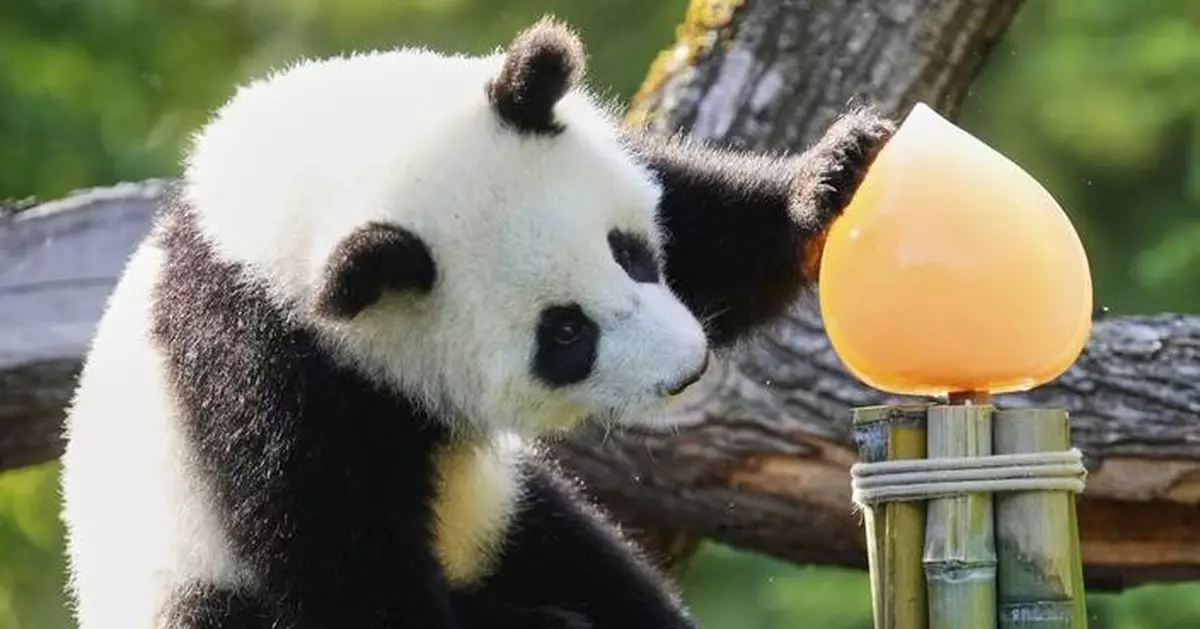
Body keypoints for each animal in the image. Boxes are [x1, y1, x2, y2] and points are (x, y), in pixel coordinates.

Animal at [59, 16, 893, 629]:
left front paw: (833, 178)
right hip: (190, 582)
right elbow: (350, 576)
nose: (686, 369)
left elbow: (708, 232)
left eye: (630, 252)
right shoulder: (280, 378)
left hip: (506, 515)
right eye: (564, 334)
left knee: (598, 567)